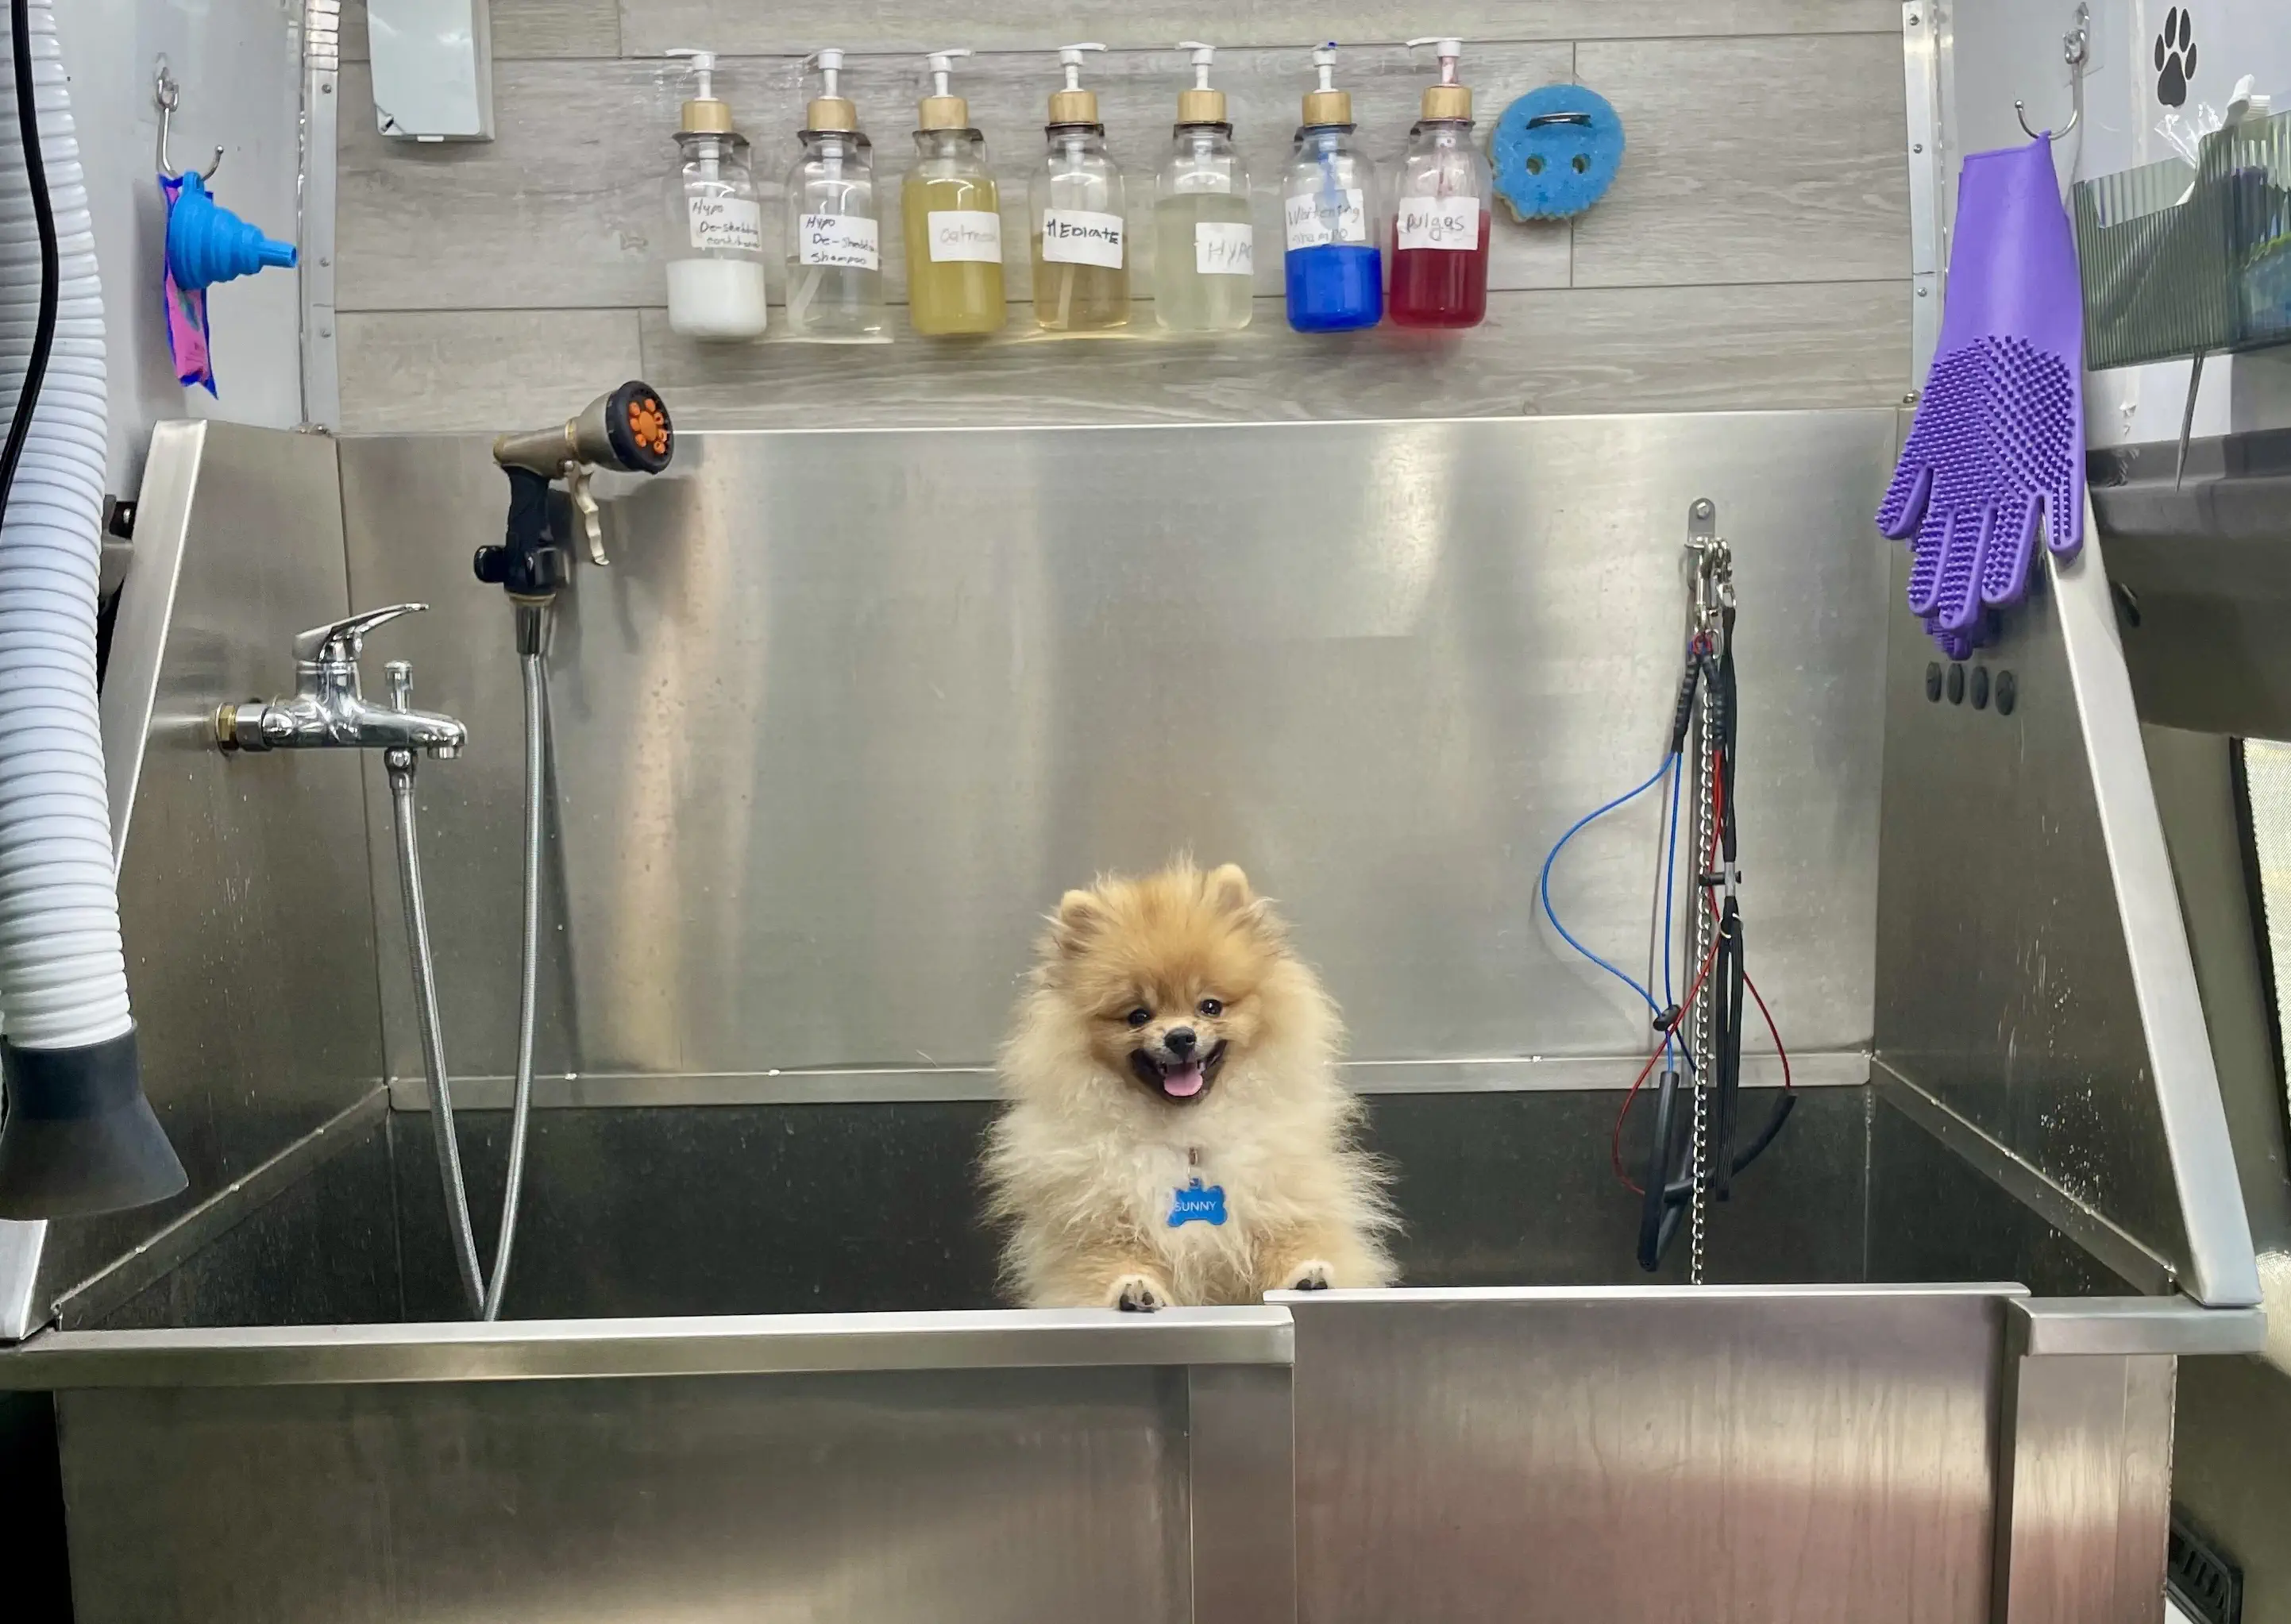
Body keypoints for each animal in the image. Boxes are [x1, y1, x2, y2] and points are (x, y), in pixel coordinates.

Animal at [985, 861, 1393, 1301]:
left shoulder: (1281, 1203)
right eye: (1138, 1016)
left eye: (1210, 1006)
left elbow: (1295, 1242)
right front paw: (1133, 1290)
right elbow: (1107, 1266)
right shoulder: (1099, 1226)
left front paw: (1308, 1277)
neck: (1187, 1137)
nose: (1181, 1037)